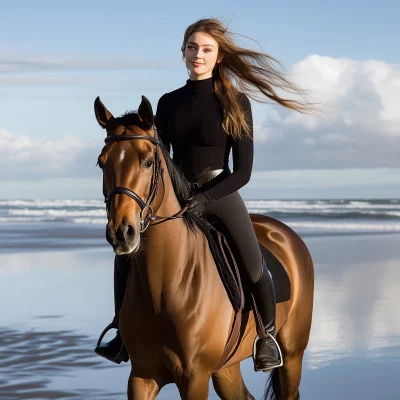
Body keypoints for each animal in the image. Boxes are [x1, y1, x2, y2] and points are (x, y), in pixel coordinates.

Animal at [94, 94, 316, 400]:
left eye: (148, 162)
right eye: (101, 163)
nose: (121, 232)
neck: (166, 285)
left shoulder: (194, 379)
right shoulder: (141, 376)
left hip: (293, 353)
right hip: (226, 368)